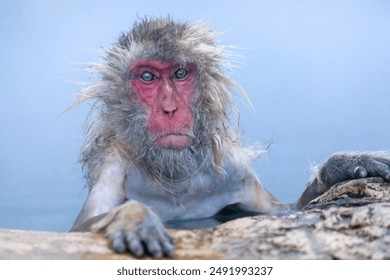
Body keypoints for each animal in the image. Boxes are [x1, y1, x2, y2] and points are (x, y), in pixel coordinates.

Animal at [70, 17, 390, 258]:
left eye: (180, 73)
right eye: (147, 77)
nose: (170, 109)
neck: (174, 174)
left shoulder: (234, 172)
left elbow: (285, 210)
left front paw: (341, 166)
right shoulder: (113, 167)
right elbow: (79, 230)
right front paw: (133, 216)